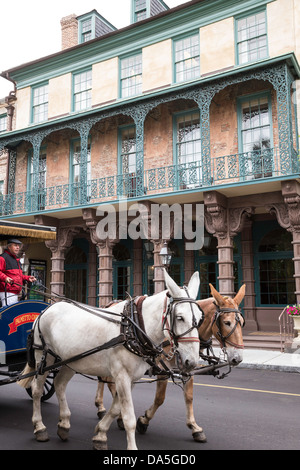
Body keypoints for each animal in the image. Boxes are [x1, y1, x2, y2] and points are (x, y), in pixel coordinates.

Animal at [18, 270, 202, 450]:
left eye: (200, 318)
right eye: (180, 317)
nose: (192, 362)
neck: (133, 328)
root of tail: (46, 310)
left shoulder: (132, 378)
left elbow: (115, 409)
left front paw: (100, 434)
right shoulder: (122, 375)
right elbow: (128, 418)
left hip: (70, 360)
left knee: (59, 384)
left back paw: (64, 424)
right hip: (44, 357)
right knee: (37, 389)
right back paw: (39, 427)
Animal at [95, 284, 245, 442]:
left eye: (242, 322)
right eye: (227, 322)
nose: (238, 358)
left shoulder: (187, 366)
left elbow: (189, 397)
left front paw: (194, 427)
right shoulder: (162, 368)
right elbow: (160, 398)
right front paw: (144, 421)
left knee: (103, 380)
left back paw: (102, 408)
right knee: (108, 382)